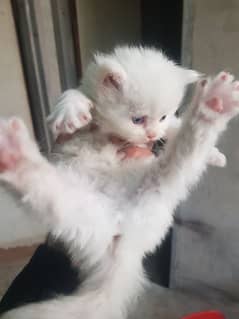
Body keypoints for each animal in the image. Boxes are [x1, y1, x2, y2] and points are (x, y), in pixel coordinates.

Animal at [0, 45, 238, 319]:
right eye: (137, 119)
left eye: (163, 116)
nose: (152, 136)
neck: (109, 131)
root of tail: (126, 242)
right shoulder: (84, 94)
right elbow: (73, 94)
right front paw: (70, 111)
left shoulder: (166, 128)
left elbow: (176, 127)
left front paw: (215, 155)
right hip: (82, 214)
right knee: (47, 194)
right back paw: (14, 155)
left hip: (155, 188)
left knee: (185, 154)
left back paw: (214, 105)